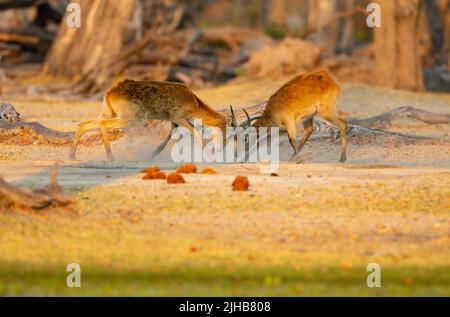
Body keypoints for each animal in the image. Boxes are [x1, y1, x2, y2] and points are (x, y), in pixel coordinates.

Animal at [71, 79, 232, 160]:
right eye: (224, 133)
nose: (220, 149)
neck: (194, 103)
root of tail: (109, 93)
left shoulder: (174, 121)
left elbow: (170, 134)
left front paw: (154, 153)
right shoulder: (178, 117)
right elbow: (195, 132)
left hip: (108, 113)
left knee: (84, 124)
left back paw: (72, 155)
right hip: (131, 118)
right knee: (103, 124)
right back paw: (110, 157)